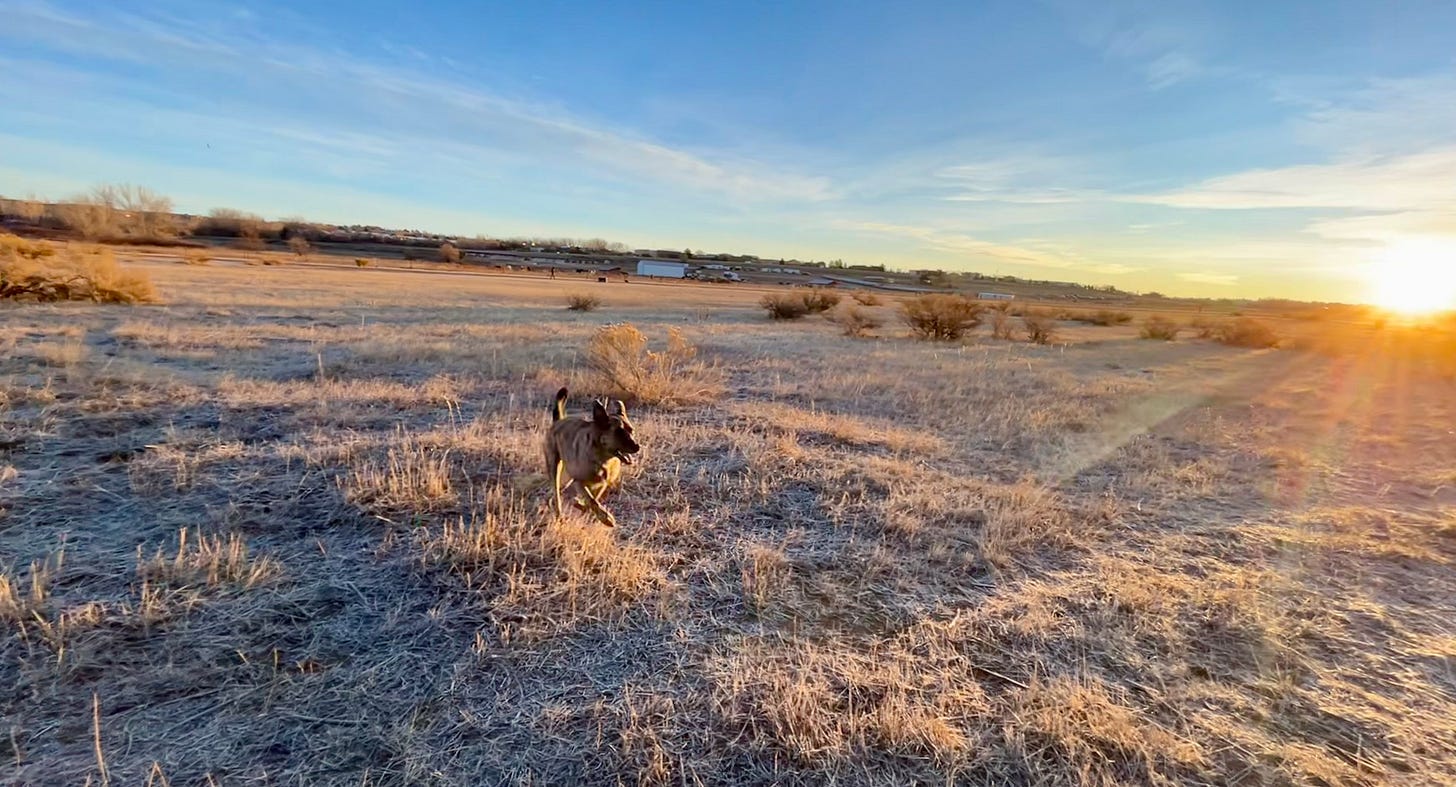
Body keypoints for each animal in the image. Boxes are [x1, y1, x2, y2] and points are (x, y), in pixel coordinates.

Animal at [544, 384, 640, 523]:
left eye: (631, 431)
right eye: (619, 433)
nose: (637, 447)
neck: (602, 460)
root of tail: (558, 422)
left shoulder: (601, 484)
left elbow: (592, 500)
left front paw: (581, 506)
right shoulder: (579, 482)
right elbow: (592, 501)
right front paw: (606, 519)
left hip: (567, 479)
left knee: (554, 493)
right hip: (555, 469)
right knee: (556, 493)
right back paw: (559, 513)